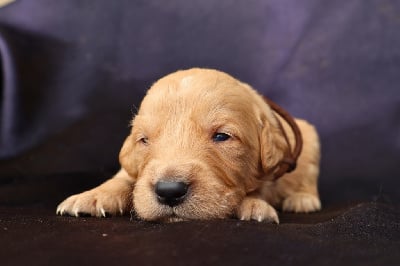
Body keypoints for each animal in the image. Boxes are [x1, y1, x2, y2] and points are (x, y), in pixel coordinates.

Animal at [56, 68, 320, 222]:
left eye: (222, 136)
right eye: (144, 140)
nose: (169, 191)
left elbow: (260, 188)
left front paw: (254, 205)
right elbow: (123, 178)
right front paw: (92, 196)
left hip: (310, 137)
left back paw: (302, 200)